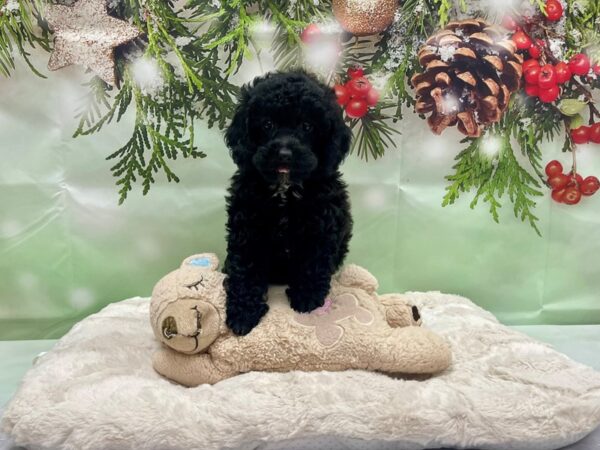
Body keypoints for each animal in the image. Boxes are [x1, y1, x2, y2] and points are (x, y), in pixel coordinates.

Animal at [223, 70, 354, 336]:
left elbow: (313, 263)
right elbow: (245, 270)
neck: (285, 190)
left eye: (307, 126)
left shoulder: (321, 227)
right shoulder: (247, 230)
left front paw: (307, 299)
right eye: (267, 124)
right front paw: (243, 314)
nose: (284, 154)